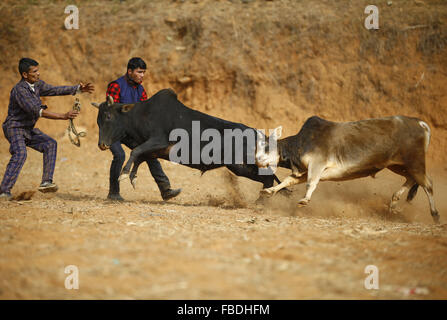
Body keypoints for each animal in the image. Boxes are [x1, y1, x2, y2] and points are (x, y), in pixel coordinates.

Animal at [90, 88, 280, 192]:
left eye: (108, 116)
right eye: (98, 120)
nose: (101, 144)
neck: (139, 115)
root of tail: (260, 135)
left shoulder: (159, 141)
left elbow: (136, 152)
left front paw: (123, 175)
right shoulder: (153, 150)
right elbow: (139, 157)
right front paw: (132, 177)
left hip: (241, 165)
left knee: (268, 178)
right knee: (269, 179)